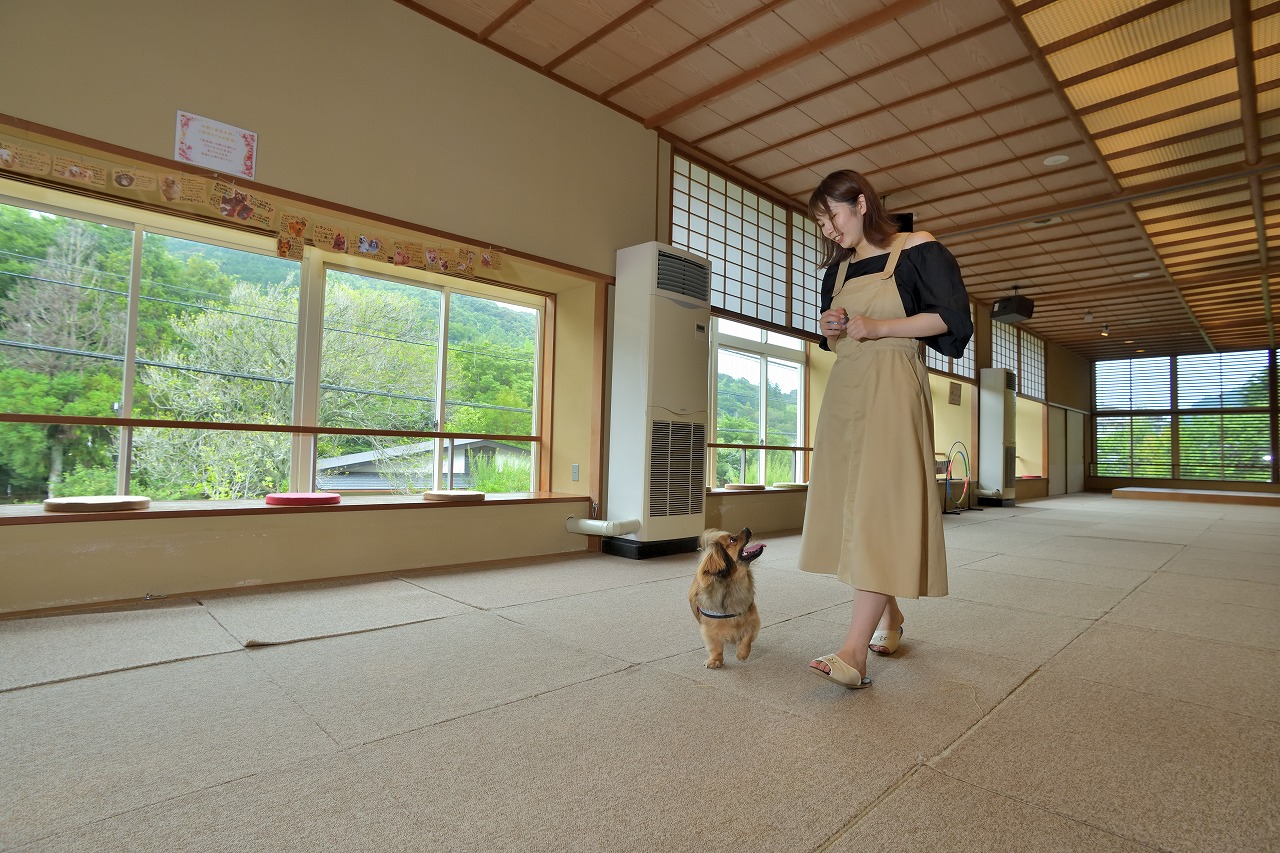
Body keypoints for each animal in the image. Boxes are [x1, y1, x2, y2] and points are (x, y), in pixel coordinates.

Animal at [686, 525, 762, 666]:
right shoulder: (710, 630)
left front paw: (742, 654)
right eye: (732, 540)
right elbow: (716, 646)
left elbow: (747, 638)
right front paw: (716, 660)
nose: (746, 528)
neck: (734, 584)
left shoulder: (752, 620)